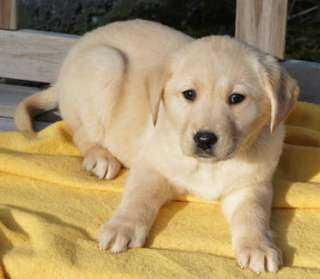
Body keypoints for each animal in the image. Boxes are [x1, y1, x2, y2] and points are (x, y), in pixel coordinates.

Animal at [16, 19, 298, 274]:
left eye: (237, 98)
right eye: (189, 94)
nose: (204, 139)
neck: (207, 167)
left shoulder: (252, 185)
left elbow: (253, 214)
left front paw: (258, 246)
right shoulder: (151, 167)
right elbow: (138, 199)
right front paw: (122, 227)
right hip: (106, 64)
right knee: (79, 131)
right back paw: (100, 157)